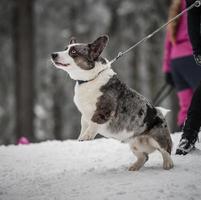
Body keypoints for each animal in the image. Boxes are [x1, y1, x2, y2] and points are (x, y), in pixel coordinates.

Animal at [51, 34, 174, 170]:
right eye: (65, 48)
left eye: (73, 52)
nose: (53, 54)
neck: (90, 79)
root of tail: (160, 114)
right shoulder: (85, 114)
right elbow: (84, 124)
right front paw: (80, 137)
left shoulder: (104, 109)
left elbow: (93, 122)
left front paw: (86, 137)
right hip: (134, 144)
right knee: (144, 156)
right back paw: (134, 167)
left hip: (158, 138)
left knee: (165, 150)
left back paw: (168, 164)